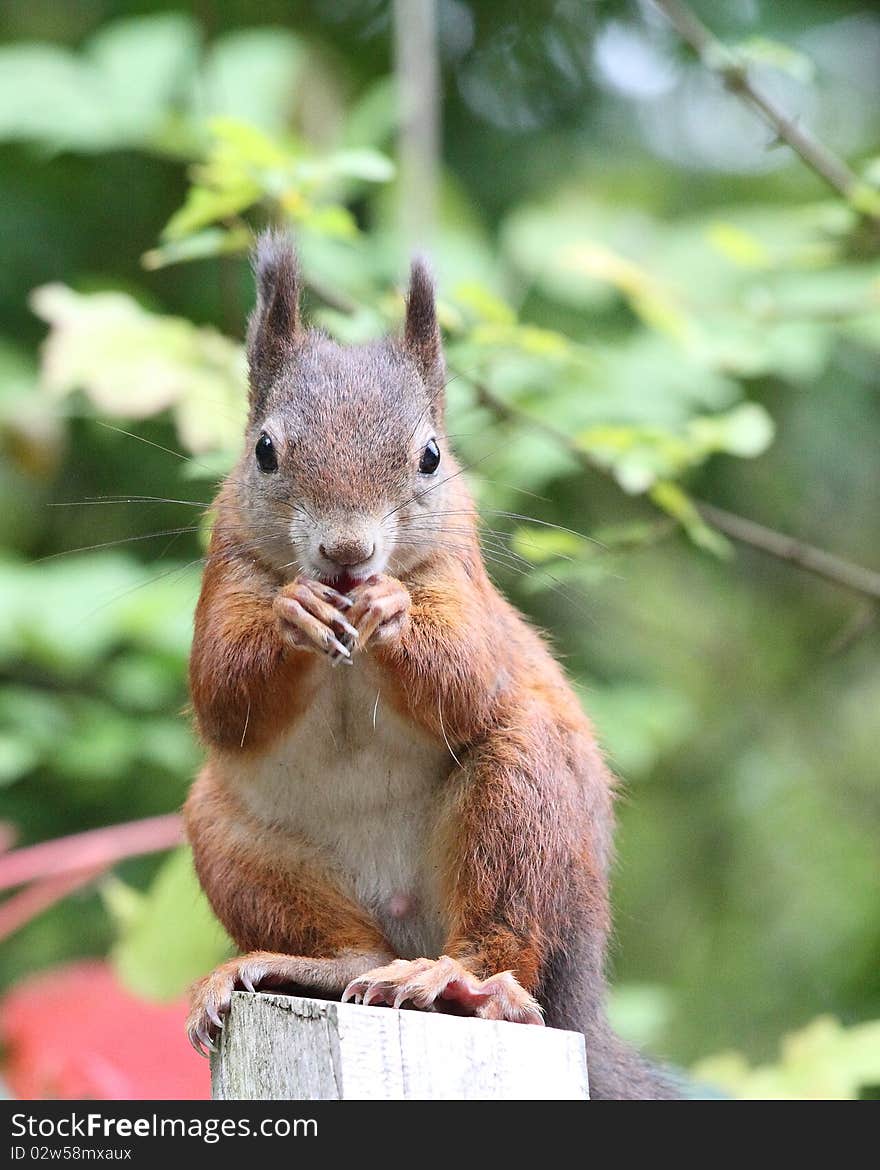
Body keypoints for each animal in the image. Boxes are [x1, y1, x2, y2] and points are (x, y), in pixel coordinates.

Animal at [186, 230, 678, 1095]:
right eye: (265, 451)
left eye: (430, 456)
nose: (348, 555)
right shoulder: (228, 565)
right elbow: (220, 691)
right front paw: (295, 614)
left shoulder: (461, 575)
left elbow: (469, 675)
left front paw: (394, 610)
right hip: (232, 841)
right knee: (352, 949)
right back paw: (305, 966)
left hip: (524, 803)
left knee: (509, 948)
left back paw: (458, 979)